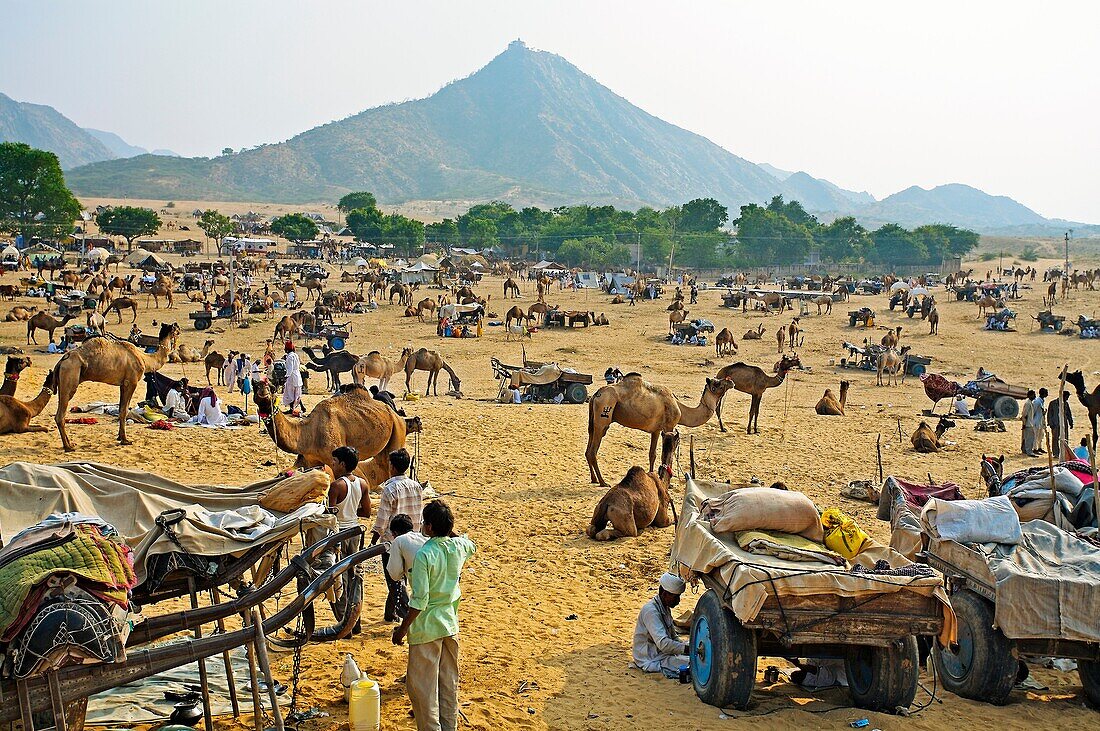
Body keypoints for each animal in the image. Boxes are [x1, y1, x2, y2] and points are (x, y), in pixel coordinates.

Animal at [50, 320, 180, 448]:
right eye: (176, 329)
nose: (179, 333)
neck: (144, 359)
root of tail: (62, 361)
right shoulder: (131, 382)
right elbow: (124, 410)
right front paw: (125, 440)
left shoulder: (123, 384)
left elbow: (122, 408)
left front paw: (119, 437)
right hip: (70, 376)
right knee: (61, 414)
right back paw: (68, 446)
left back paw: (69, 444)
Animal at [251, 375, 409, 490]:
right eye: (255, 386)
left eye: (272, 388)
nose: (263, 391)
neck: (307, 433)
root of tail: (395, 414)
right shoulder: (310, 460)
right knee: (382, 465)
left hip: (398, 428)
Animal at [585, 373, 730, 488]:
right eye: (717, 383)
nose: (731, 381)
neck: (681, 409)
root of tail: (596, 395)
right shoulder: (669, 426)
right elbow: (666, 453)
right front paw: (669, 484)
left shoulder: (656, 430)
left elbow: (652, 454)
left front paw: (651, 475)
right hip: (604, 412)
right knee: (592, 451)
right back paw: (602, 482)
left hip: (593, 421)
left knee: (588, 449)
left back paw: (593, 479)